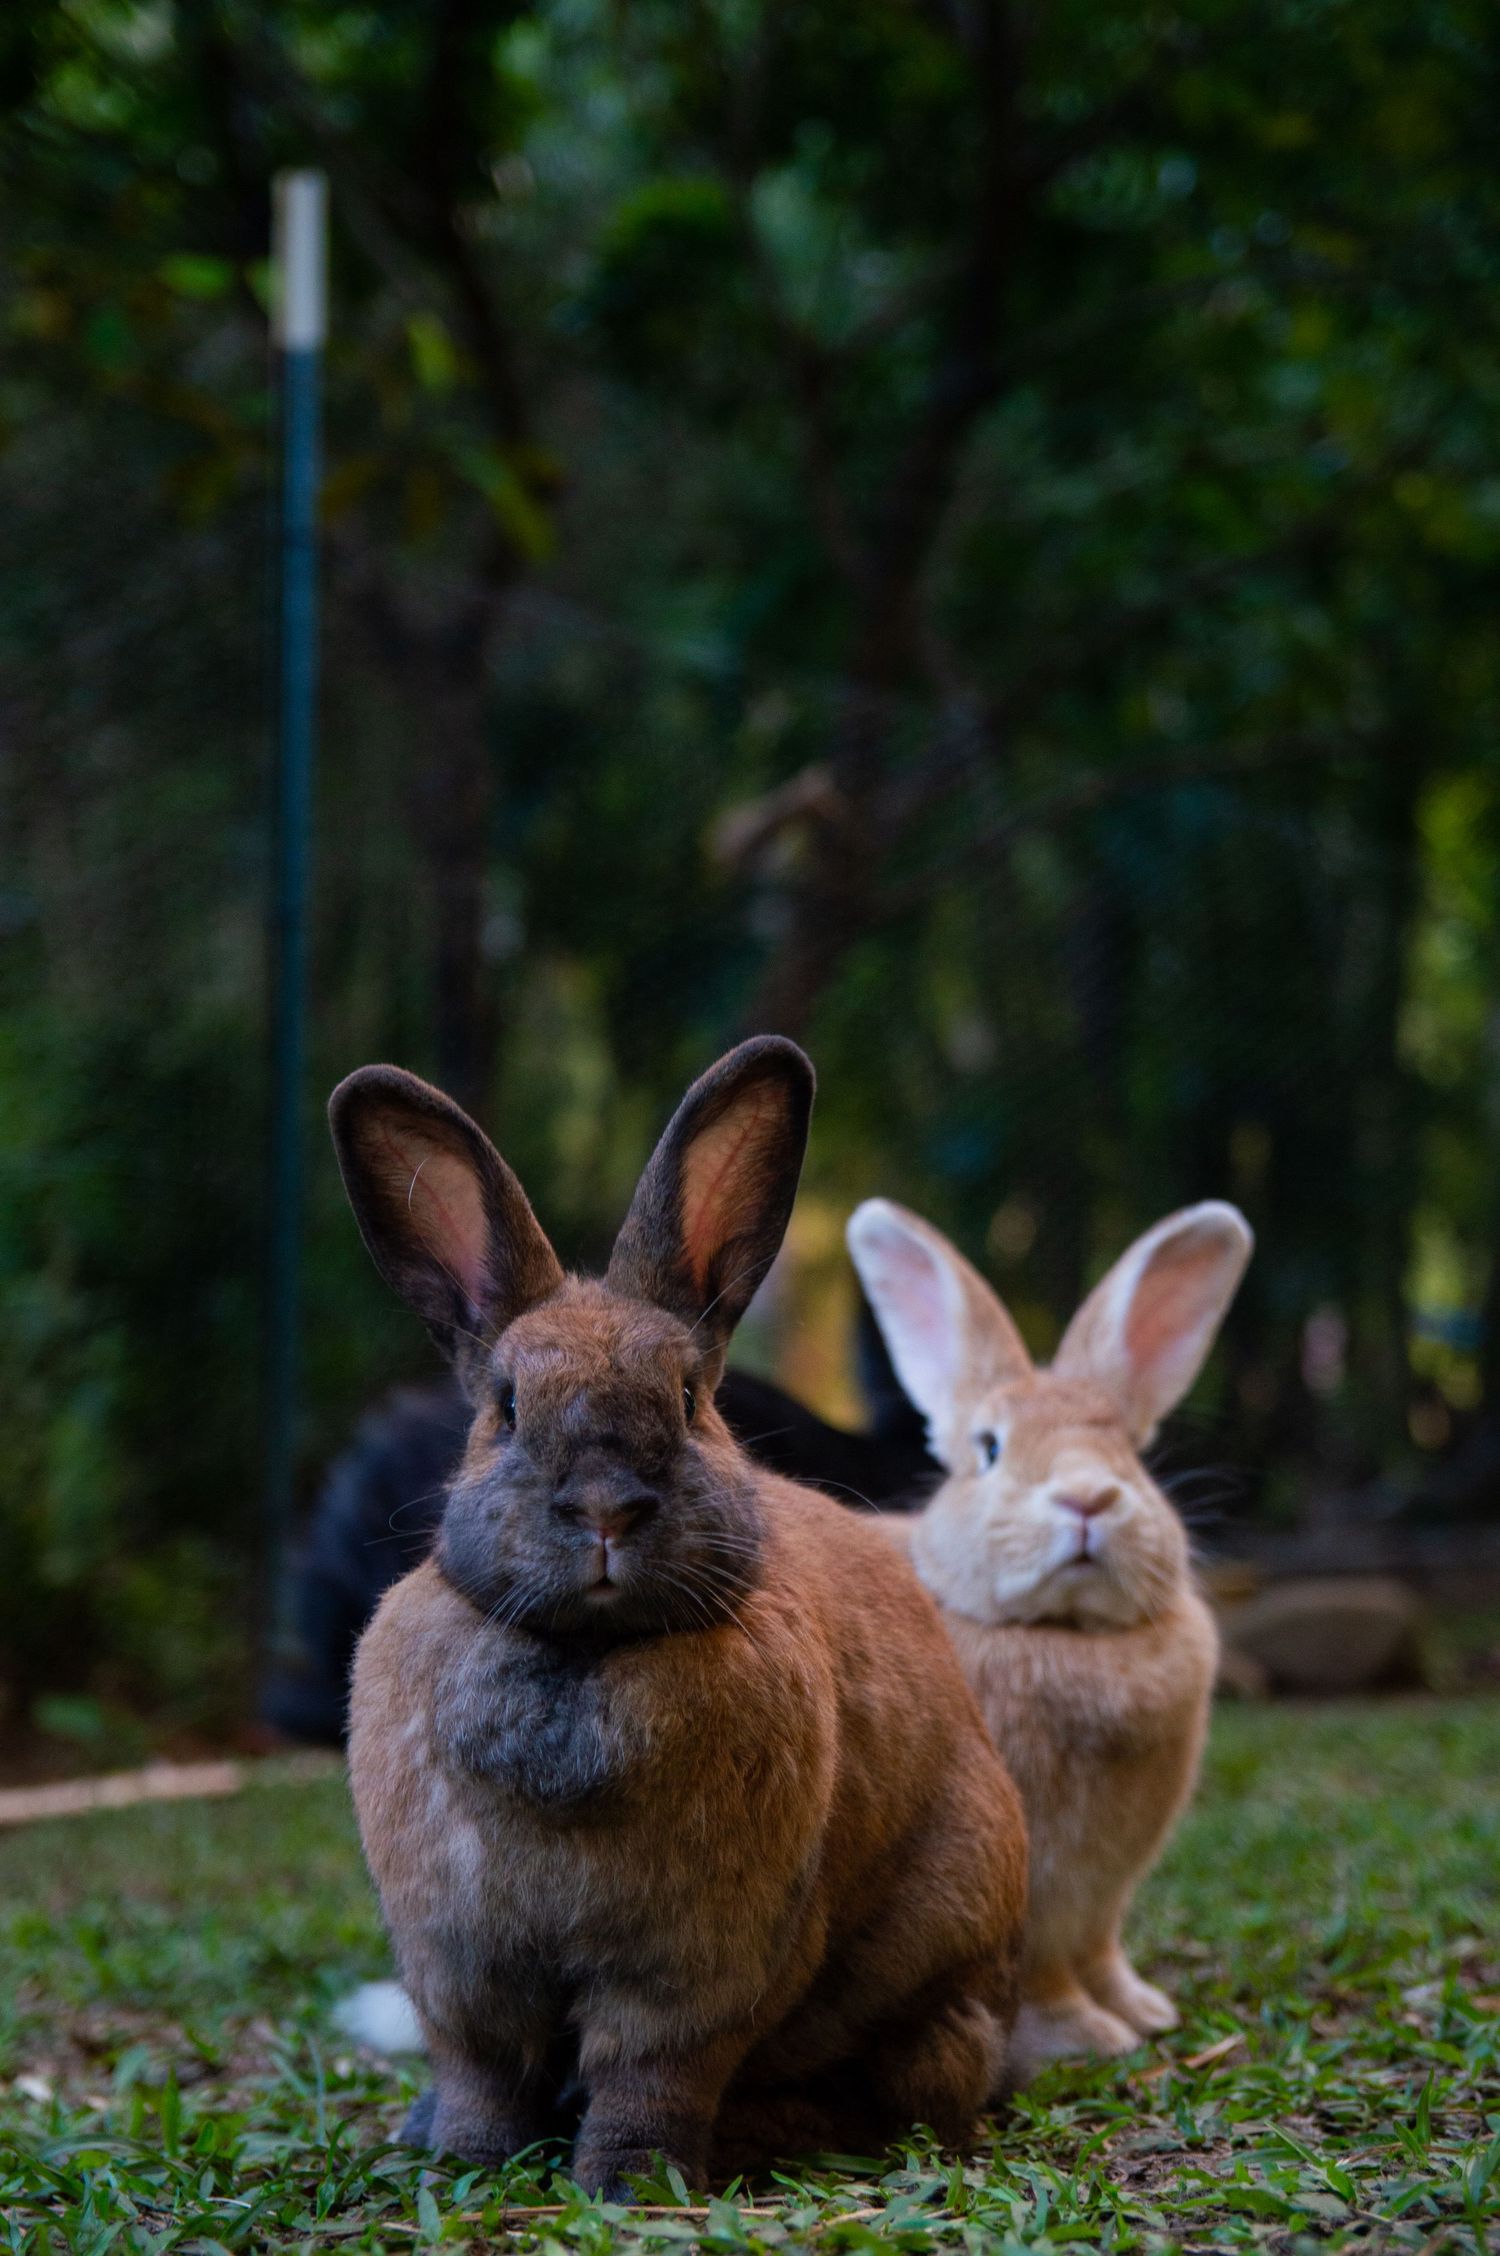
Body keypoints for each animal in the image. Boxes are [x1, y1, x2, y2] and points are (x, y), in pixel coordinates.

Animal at [330, 1037, 1027, 2197]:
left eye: (691, 1398)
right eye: (505, 1407)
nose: (606, 1507)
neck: (587, 1652)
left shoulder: (692, 1971)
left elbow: (650, 2072)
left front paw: (627, 2180)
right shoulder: (458, 1964)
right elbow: (481, 2071)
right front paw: (465, 2166)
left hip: (929, 1998)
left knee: (899, 2084)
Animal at [846, 1195, 1252, 2084]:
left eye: (1130, 1452)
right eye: (990, 1450)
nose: (1088, 1497)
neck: (1065, 1632)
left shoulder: (1102, 1898)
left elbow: (1102, 1951)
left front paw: (1145, 2012)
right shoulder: (1028, 1888)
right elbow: (1044, 1980)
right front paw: (1085, 2041)